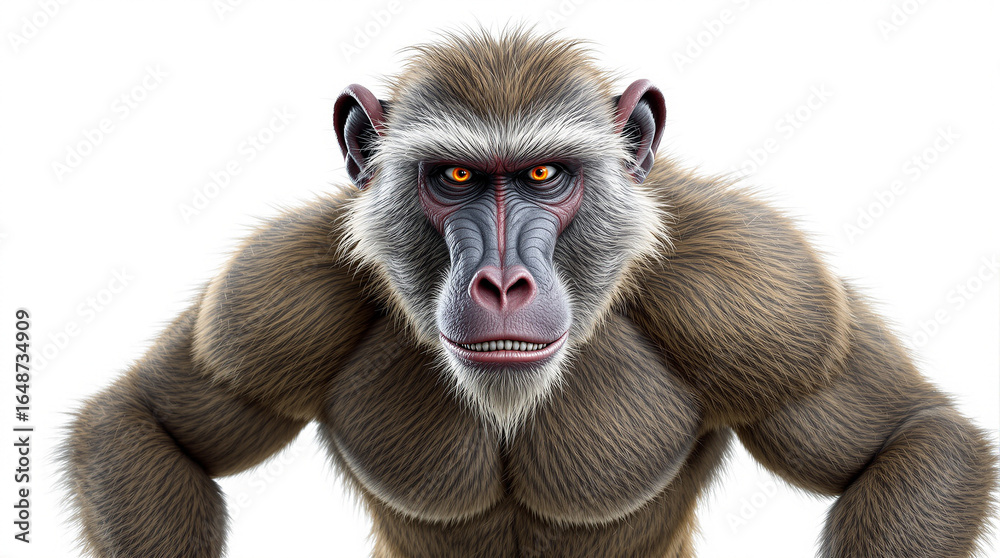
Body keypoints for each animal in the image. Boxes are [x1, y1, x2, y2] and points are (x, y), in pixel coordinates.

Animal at [61, 27, 996, 558]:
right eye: (456, 176)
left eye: (545, 174)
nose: (504, 280)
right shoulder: (268, 301)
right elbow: (148, 427)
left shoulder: (766, 295)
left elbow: (909, 442)